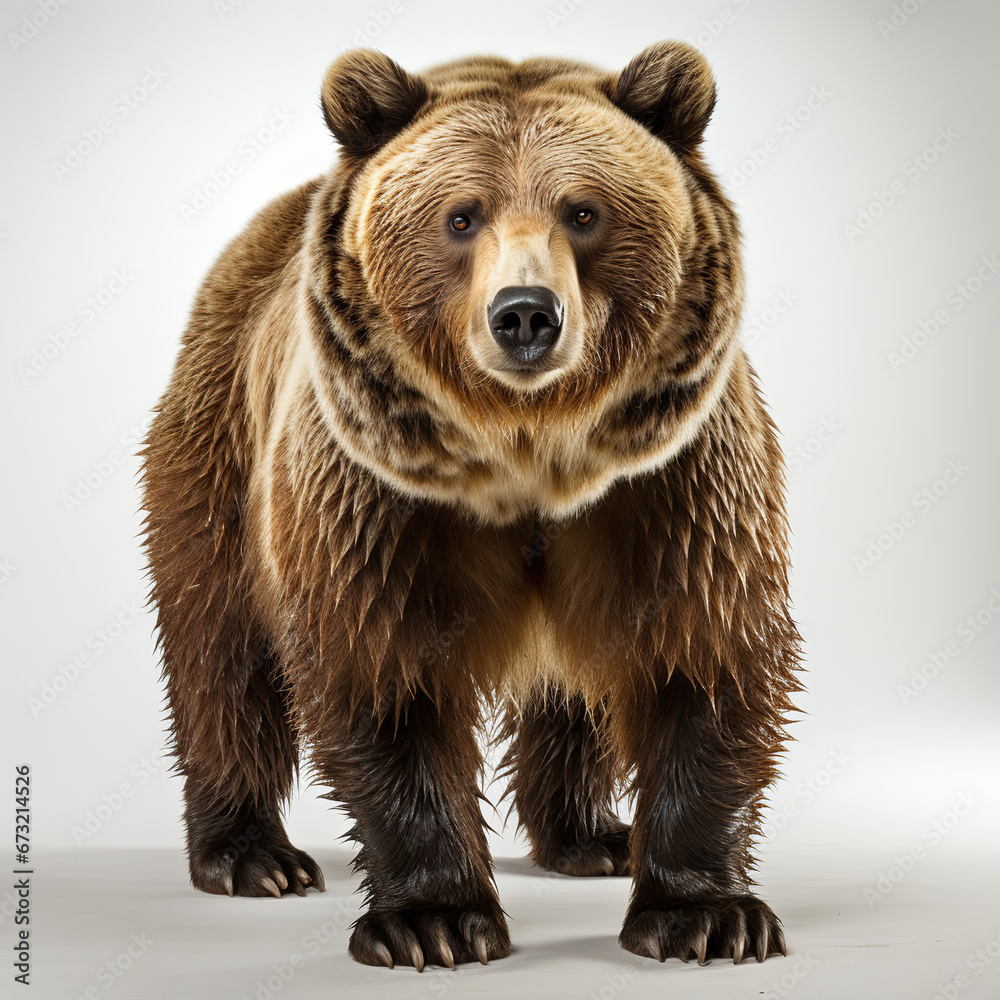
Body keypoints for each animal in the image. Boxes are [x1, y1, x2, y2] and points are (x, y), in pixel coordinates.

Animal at [141, 41, 802, 970]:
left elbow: (698, 656)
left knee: (573, 689)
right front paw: (435, 921)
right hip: (221, 443)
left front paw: (707, 915)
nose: (525, 314)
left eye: (584, 211)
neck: (527, 452)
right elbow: (386, 676)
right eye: (461, 217)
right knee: (220, 647)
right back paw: (250, 855)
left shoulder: (671, 484)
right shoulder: (378, 497)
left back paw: (591, 836)